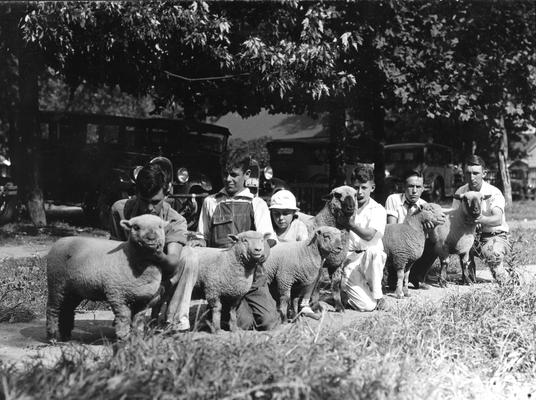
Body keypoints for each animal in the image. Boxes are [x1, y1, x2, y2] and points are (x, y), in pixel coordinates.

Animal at [46, 214, 168, 342]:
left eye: (160, 226)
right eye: (136, 227)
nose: (151, 238)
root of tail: (60, 240)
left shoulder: (144, 298)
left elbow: (138, 319)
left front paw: (137, 339)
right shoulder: (116, 293)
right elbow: (124, 316)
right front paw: (123, 337)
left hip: (74, 289)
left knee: (67, 309)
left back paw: (65, 336)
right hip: (56, 282)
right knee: (52, 308)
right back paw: (52, 336)